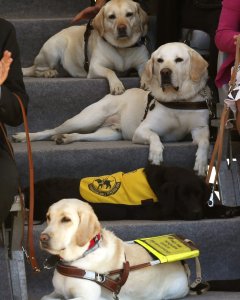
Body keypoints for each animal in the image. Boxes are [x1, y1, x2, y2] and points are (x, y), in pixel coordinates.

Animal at [39, 197, 190, 300]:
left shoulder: (86, 296)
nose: (42, 238)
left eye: (66, 219)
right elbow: (44, 297)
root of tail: (182, 266)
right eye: (48, 217)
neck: (79, 257)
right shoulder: (57, 293)